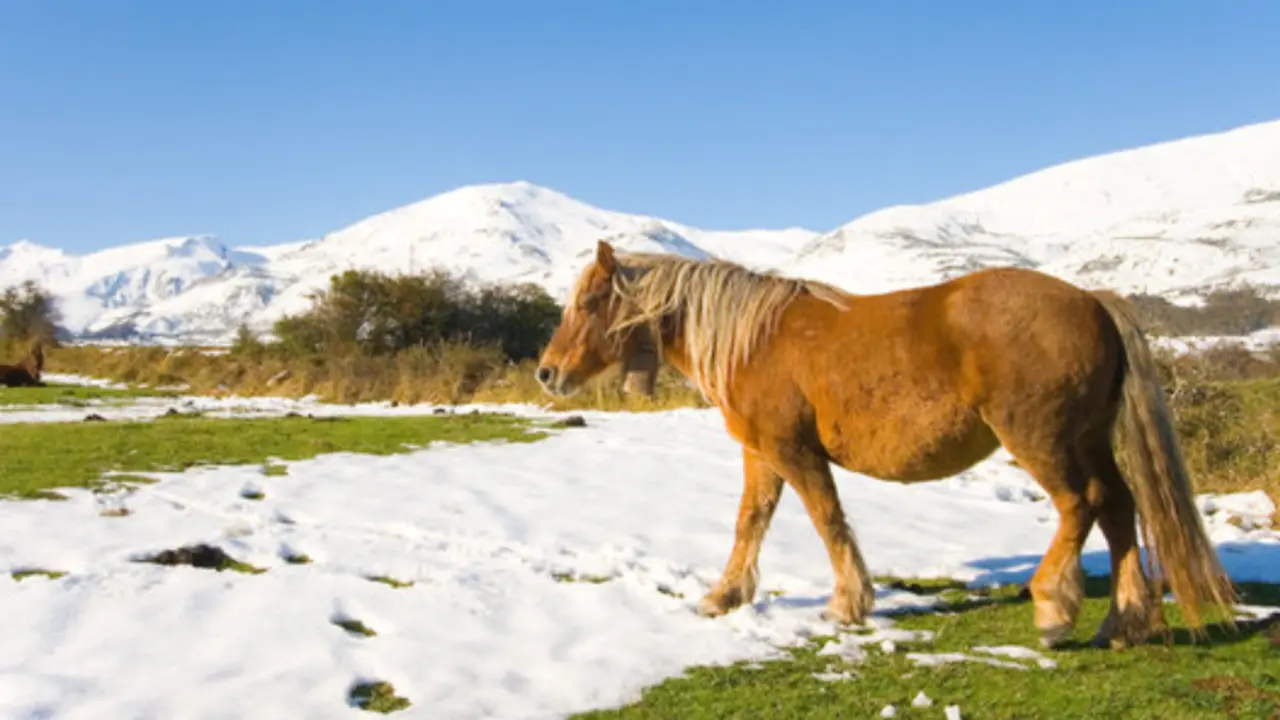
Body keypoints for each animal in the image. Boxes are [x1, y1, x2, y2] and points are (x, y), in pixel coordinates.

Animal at [535, 240, 1237, 651]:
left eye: (591, 301)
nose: (547, 372)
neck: (754, 338)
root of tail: (1092, 300)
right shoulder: (761, 452)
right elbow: (750, 522)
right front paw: (724, 597)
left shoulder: (794, 452)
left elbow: (826, 519)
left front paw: (849, 603)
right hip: (1087, 438)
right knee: (1118, 508)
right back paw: (1124, 621)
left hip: (1042, 440)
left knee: (1081, 504)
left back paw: (1054, 610)